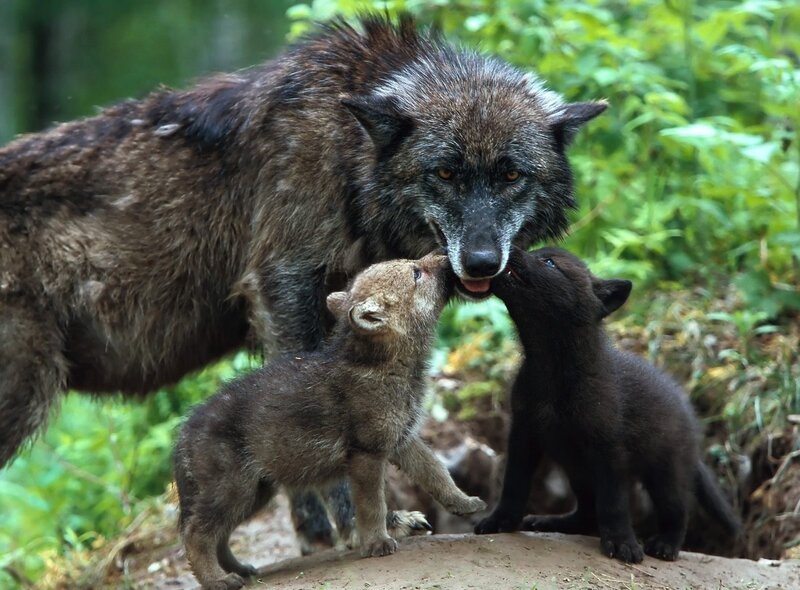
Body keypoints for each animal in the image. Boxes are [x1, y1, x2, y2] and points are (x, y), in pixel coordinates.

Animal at [0, 15, 605, 545]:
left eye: (511, 174)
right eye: (446, 172)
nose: (481, 262)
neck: (346, 153)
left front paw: (316, 529)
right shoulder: (283, 287)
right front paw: (359, 523)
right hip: (25, 399)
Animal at [174, 253, 485, 590]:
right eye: (416, 273)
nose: (444, 256)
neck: (384, 366)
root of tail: (182, 435)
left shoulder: (403, 440)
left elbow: (438, 474)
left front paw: (466, 503)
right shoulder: (366, 454)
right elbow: (372, 504)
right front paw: (377, 543)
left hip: (256, 492)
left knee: (218, 536)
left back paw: (241, 570)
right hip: (233, 489)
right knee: (196, 535)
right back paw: (218, 581)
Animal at [474, 247, 741, 562]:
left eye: (549, 262)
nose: (509, 249)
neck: (552, 370)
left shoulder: (609, 448)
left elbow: (614, 503)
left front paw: (622, 543)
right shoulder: (523, 433)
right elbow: (514, 485)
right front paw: (500, 521)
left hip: (666, 472)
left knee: (677, 510)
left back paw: (666, 545)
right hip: (577, 469)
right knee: (587, 512)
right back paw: (551, 522)